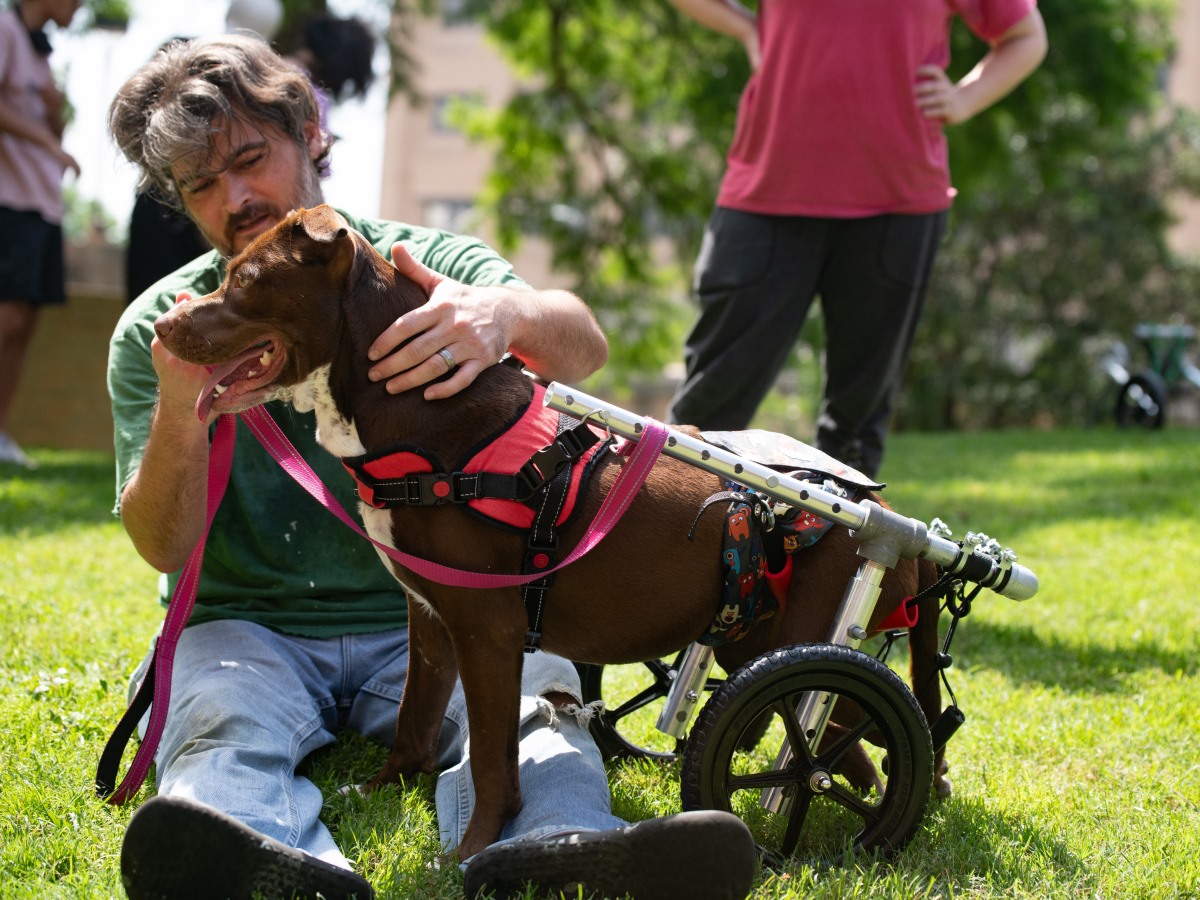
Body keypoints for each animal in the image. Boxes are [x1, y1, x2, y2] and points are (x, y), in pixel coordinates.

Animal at [154, 207, 945, 864]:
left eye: (246, 280)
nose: (163, 325)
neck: (411, 411)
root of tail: (897, 528)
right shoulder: (431, 619)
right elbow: (414, 719)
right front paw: (381, 792)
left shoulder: (488, 631)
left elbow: (492, 760)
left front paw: (472, 851)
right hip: (757, 641)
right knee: (847, 743)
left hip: (809, 643)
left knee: (873, 732)